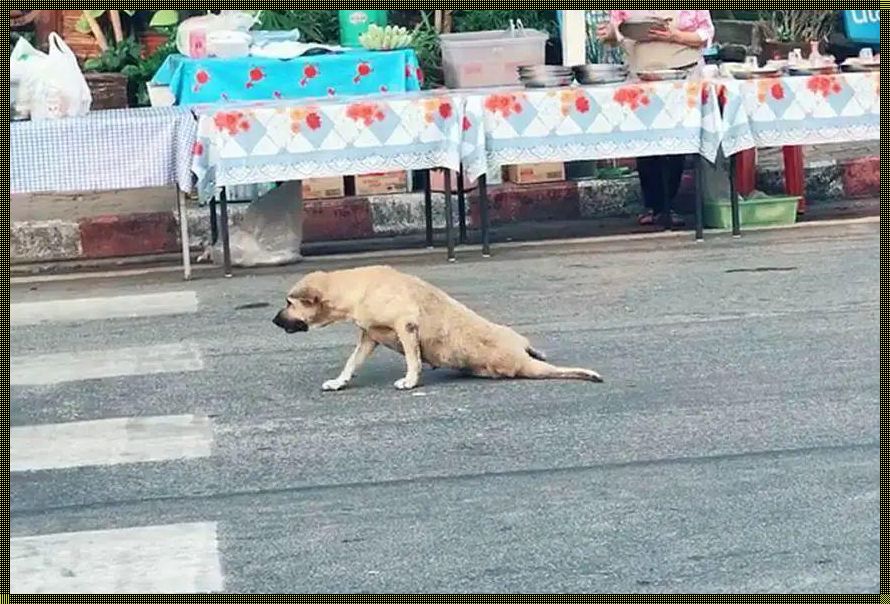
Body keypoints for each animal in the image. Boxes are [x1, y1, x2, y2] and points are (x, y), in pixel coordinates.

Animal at [270, 266, 604, 392]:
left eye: (288, 302)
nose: (273, 321)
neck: (355, 288)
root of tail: (522, 360)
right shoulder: (369, 336)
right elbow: (352, 362)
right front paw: (339, 382)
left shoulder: (406, 325)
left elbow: (413, 359)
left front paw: (410, 380)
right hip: (513, 336)